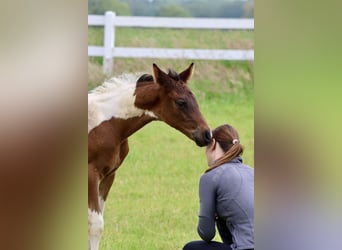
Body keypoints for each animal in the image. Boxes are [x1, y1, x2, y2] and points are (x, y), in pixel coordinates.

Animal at [87, 63, 211, 249]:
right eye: (180, 102)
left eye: (195, 100)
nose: (207, 135)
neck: (106, 122)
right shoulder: (91, 175)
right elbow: (95, 224)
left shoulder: (109, 175)